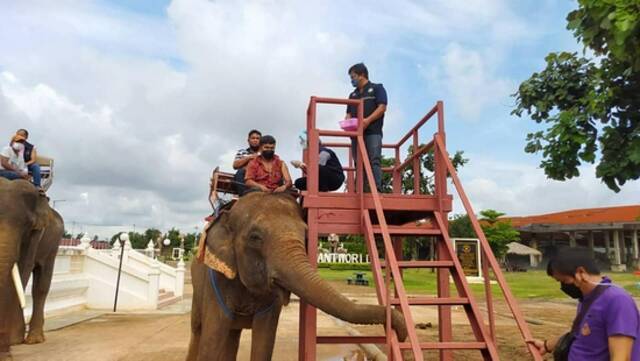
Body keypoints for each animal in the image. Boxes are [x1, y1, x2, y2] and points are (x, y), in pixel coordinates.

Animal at [0, 178, 63, 360]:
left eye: (26, 224)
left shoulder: (36, 232)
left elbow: (22, 267)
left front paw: (9, 346)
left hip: (53, 245)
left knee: (40, 287)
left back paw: (33, 339)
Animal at [186, 191, 404, 360]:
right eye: (255, 237)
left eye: (306, 235)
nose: (402, 336)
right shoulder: (216, 281)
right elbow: (212, 340)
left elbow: (264, 343)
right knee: (198, 330)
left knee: (233, 334)